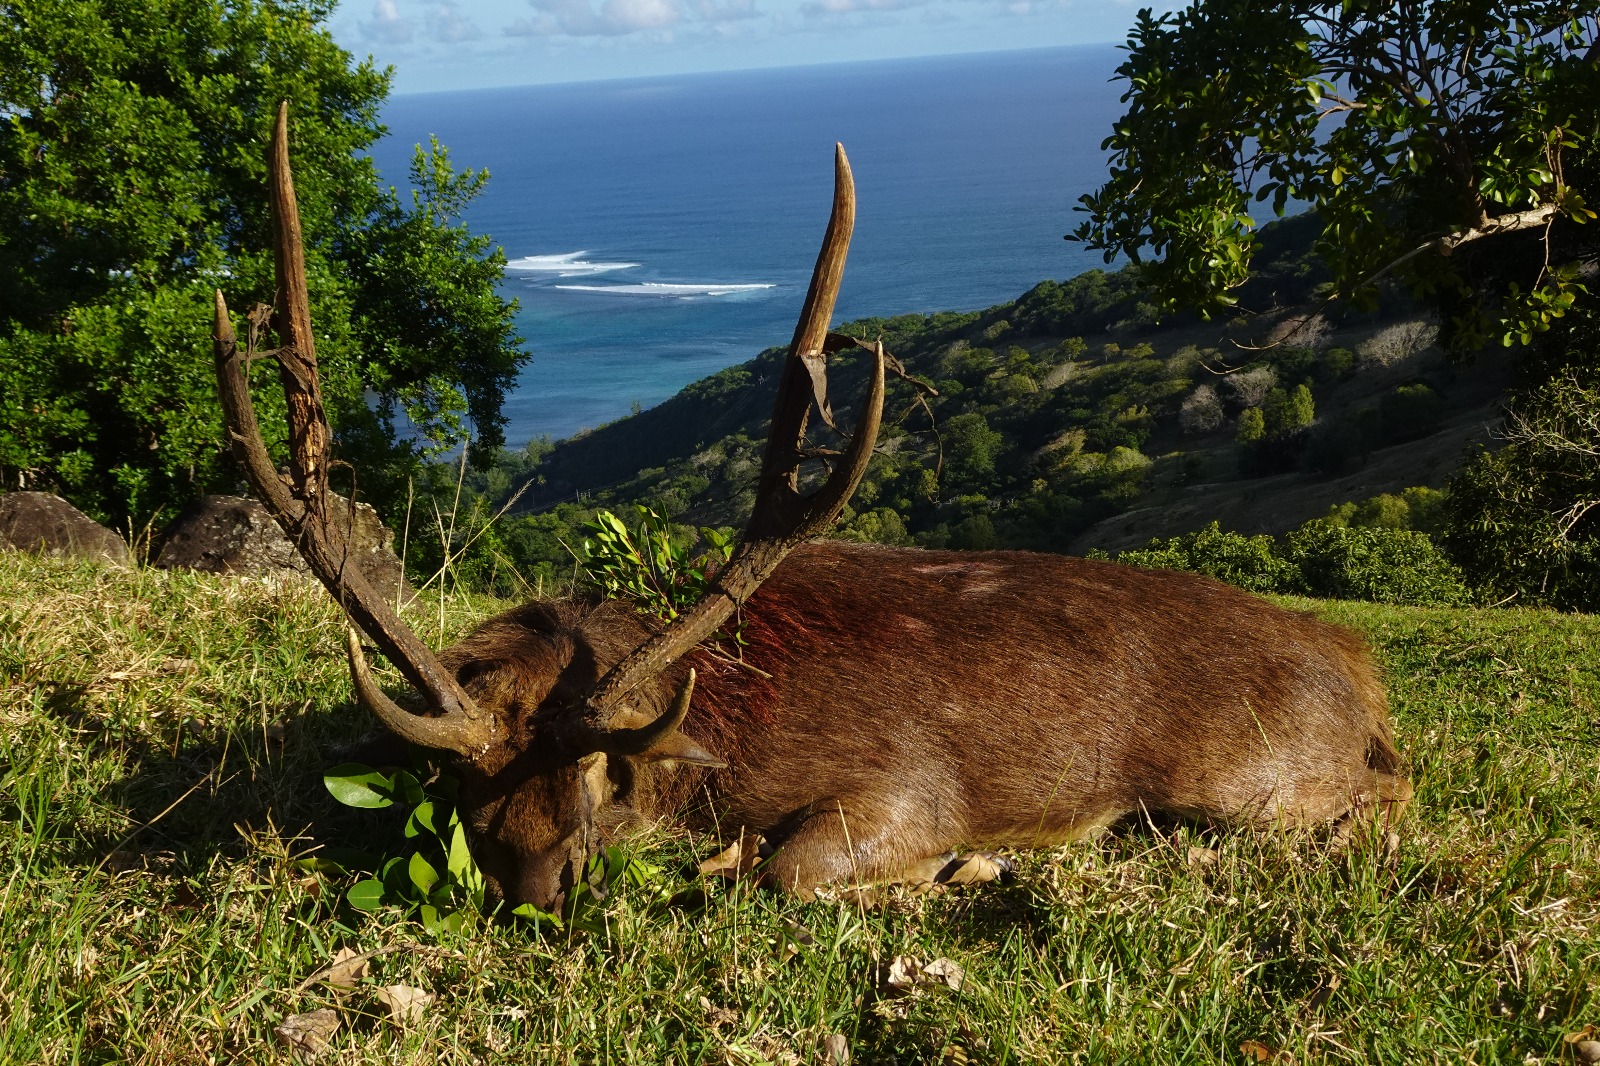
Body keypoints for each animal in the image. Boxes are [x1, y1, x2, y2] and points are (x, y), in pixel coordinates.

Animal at [213, 104, 1411, 914]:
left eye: (600, 775)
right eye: (464, 785)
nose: (541, 890)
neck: (721, 733)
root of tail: (1361, 671)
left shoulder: (905, 785)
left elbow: (790, 870)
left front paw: (948, 866)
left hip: (1251, 783)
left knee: (1365, 806)